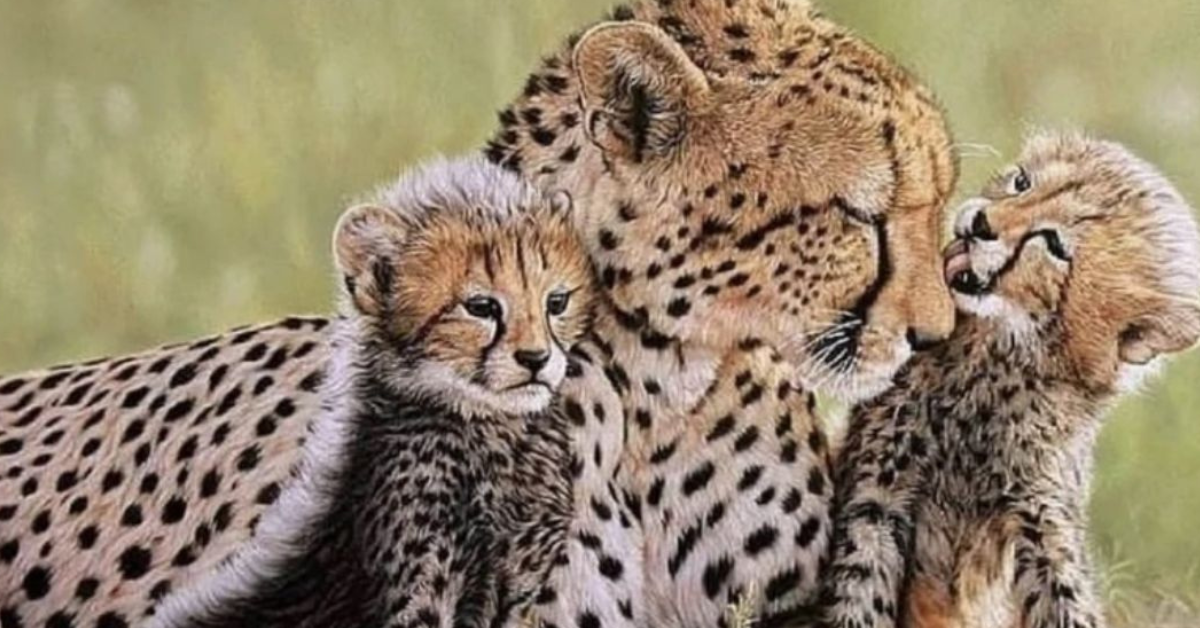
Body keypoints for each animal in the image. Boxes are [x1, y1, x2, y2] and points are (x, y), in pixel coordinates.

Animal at [149, 157, 593, 628]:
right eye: (480, 307)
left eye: (557, 302)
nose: (536, 358)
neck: (491, 432)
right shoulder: (421, 590)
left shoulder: (520, 584)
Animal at [820, 131, 1200, 628]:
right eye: (1022, 182)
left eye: (1052, 243)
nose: (980, 223)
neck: (991, 357)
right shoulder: (877, 494)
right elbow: (860, 588)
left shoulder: (1040, 517)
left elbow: (1064, 596)